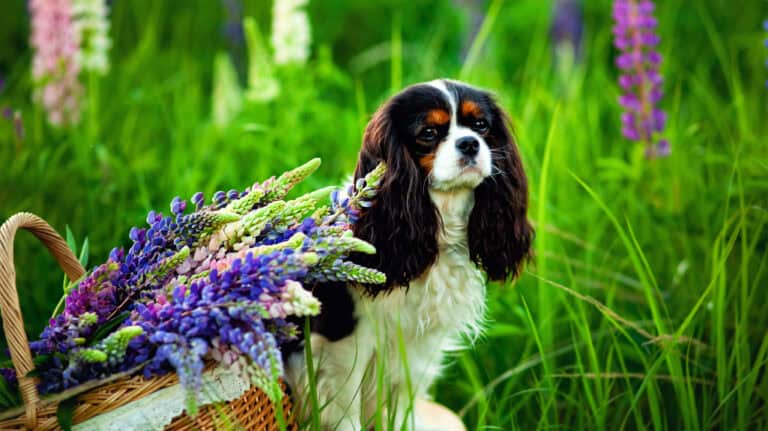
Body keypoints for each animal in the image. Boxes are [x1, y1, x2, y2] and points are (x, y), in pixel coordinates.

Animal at [284, 79, 532, 430]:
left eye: (481, 125)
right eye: (428, 132)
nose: (470, 144)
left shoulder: (416, 348)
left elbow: (401, 405)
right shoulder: (344, 346)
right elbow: (346, 410)